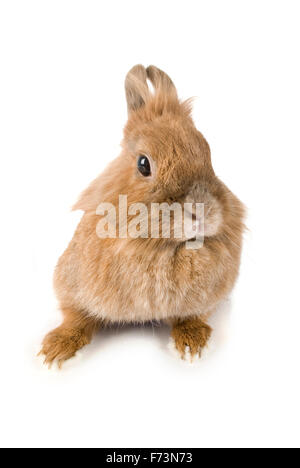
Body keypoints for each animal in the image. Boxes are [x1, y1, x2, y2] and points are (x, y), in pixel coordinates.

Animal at [39, 66, 245, 368]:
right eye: (143, 164)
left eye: (208, 154)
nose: (202, 211)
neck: (158, 248)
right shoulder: (73, 287)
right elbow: (75, 318)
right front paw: (54, 351)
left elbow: (191, 318)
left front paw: (192, 345)